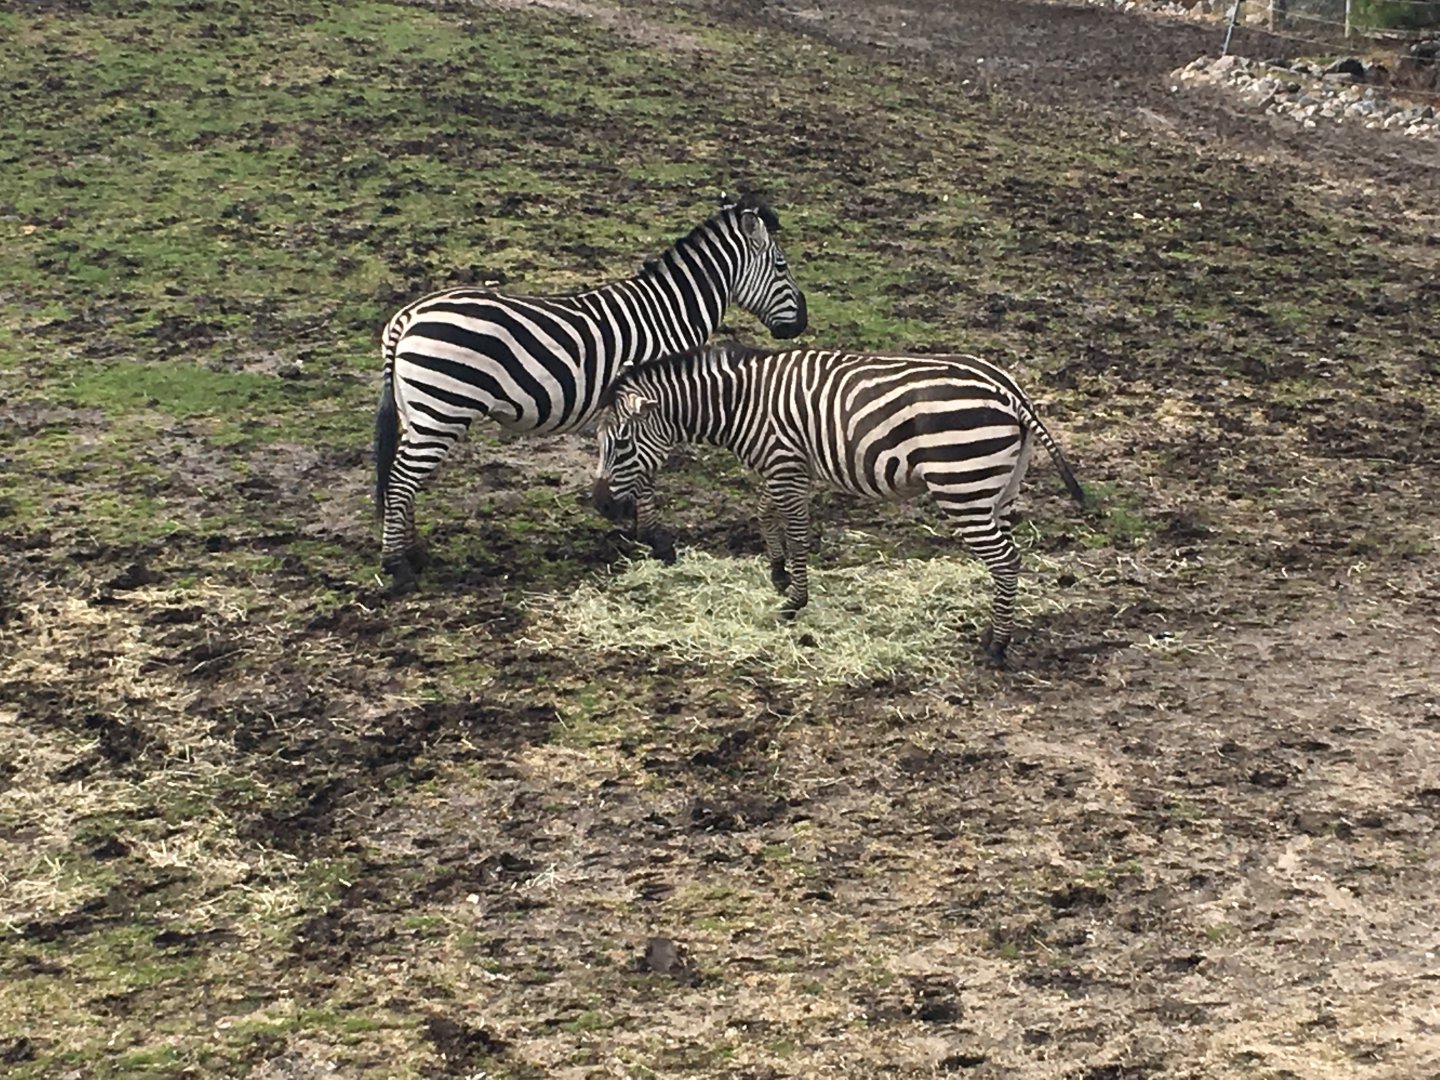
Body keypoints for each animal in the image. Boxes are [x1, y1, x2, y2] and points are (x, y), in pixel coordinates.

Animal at [373, 195, 808, 593]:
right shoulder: (651, 402)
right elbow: (646, 471)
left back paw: (415, 553)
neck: (668, 314)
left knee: (401, 479)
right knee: (400, 481)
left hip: (417, 413)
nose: (801, 323)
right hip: (441, 411)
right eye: (781, 266)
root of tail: (408, 316)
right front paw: (656, 540)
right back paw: (398, 567)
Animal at [590, 342, 1087, 663]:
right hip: (998, 489)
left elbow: (796, 531)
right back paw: (991, 630)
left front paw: (794, 599)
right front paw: (777, 573)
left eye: (621, 443)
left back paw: (997, 647)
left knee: (1005, 559)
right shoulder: (786, 465)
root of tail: (1010, 391)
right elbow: (765, 512)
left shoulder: (785, 463)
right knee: (1007, 560)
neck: (740, 402)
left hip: (961, 485)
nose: (601, 507)